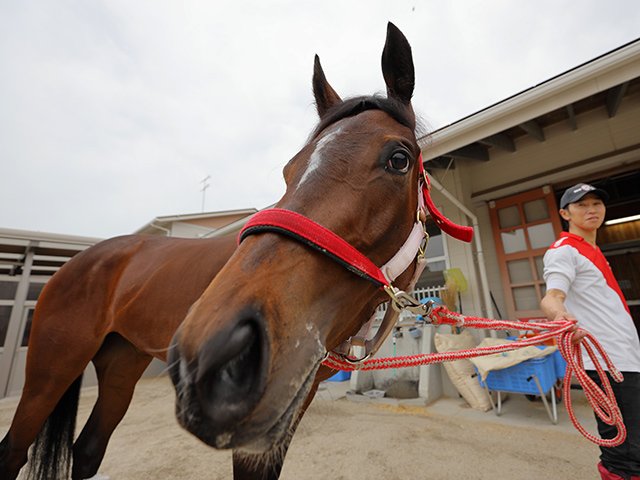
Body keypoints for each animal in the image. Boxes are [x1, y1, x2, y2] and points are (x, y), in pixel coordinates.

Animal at [0, 22, 442, 480]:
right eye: (289, 169)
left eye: (398, 159)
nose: (214, 354)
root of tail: (73, 265)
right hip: (50, 372)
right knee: (14, 450)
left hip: (122, 364)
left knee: (88, 449)